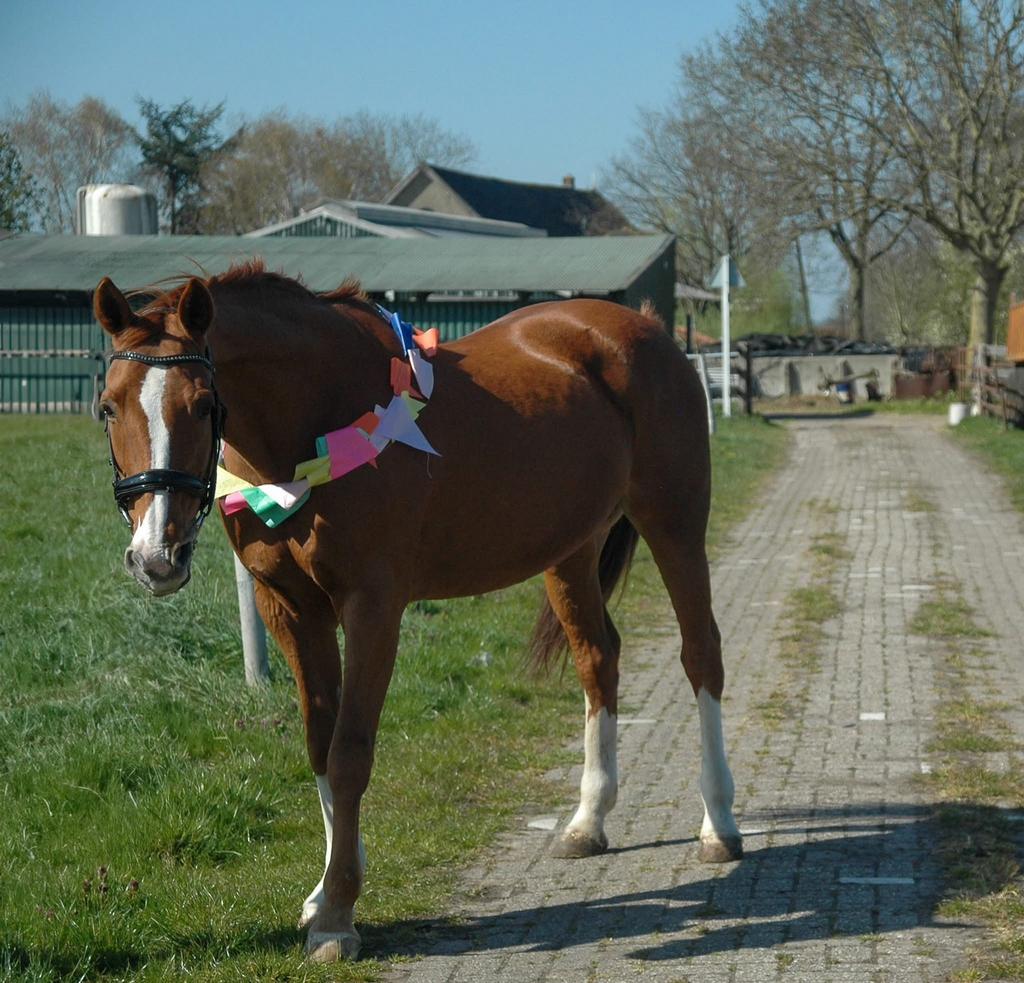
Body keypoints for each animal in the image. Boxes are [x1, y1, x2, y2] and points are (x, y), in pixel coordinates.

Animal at [92, 263, 742, 962]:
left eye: (204, 405)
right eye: (108, 406)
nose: (156, 556)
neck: (314, 410)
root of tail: (642, 326)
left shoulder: (372, 606)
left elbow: (350, 753)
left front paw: (338, 914)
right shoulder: (291, 609)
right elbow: (320, 746)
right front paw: (327, 889)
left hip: (675, 524)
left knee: (702, 654)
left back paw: (719, 825)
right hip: (570, 551)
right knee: (598, 660)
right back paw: (588, 821)